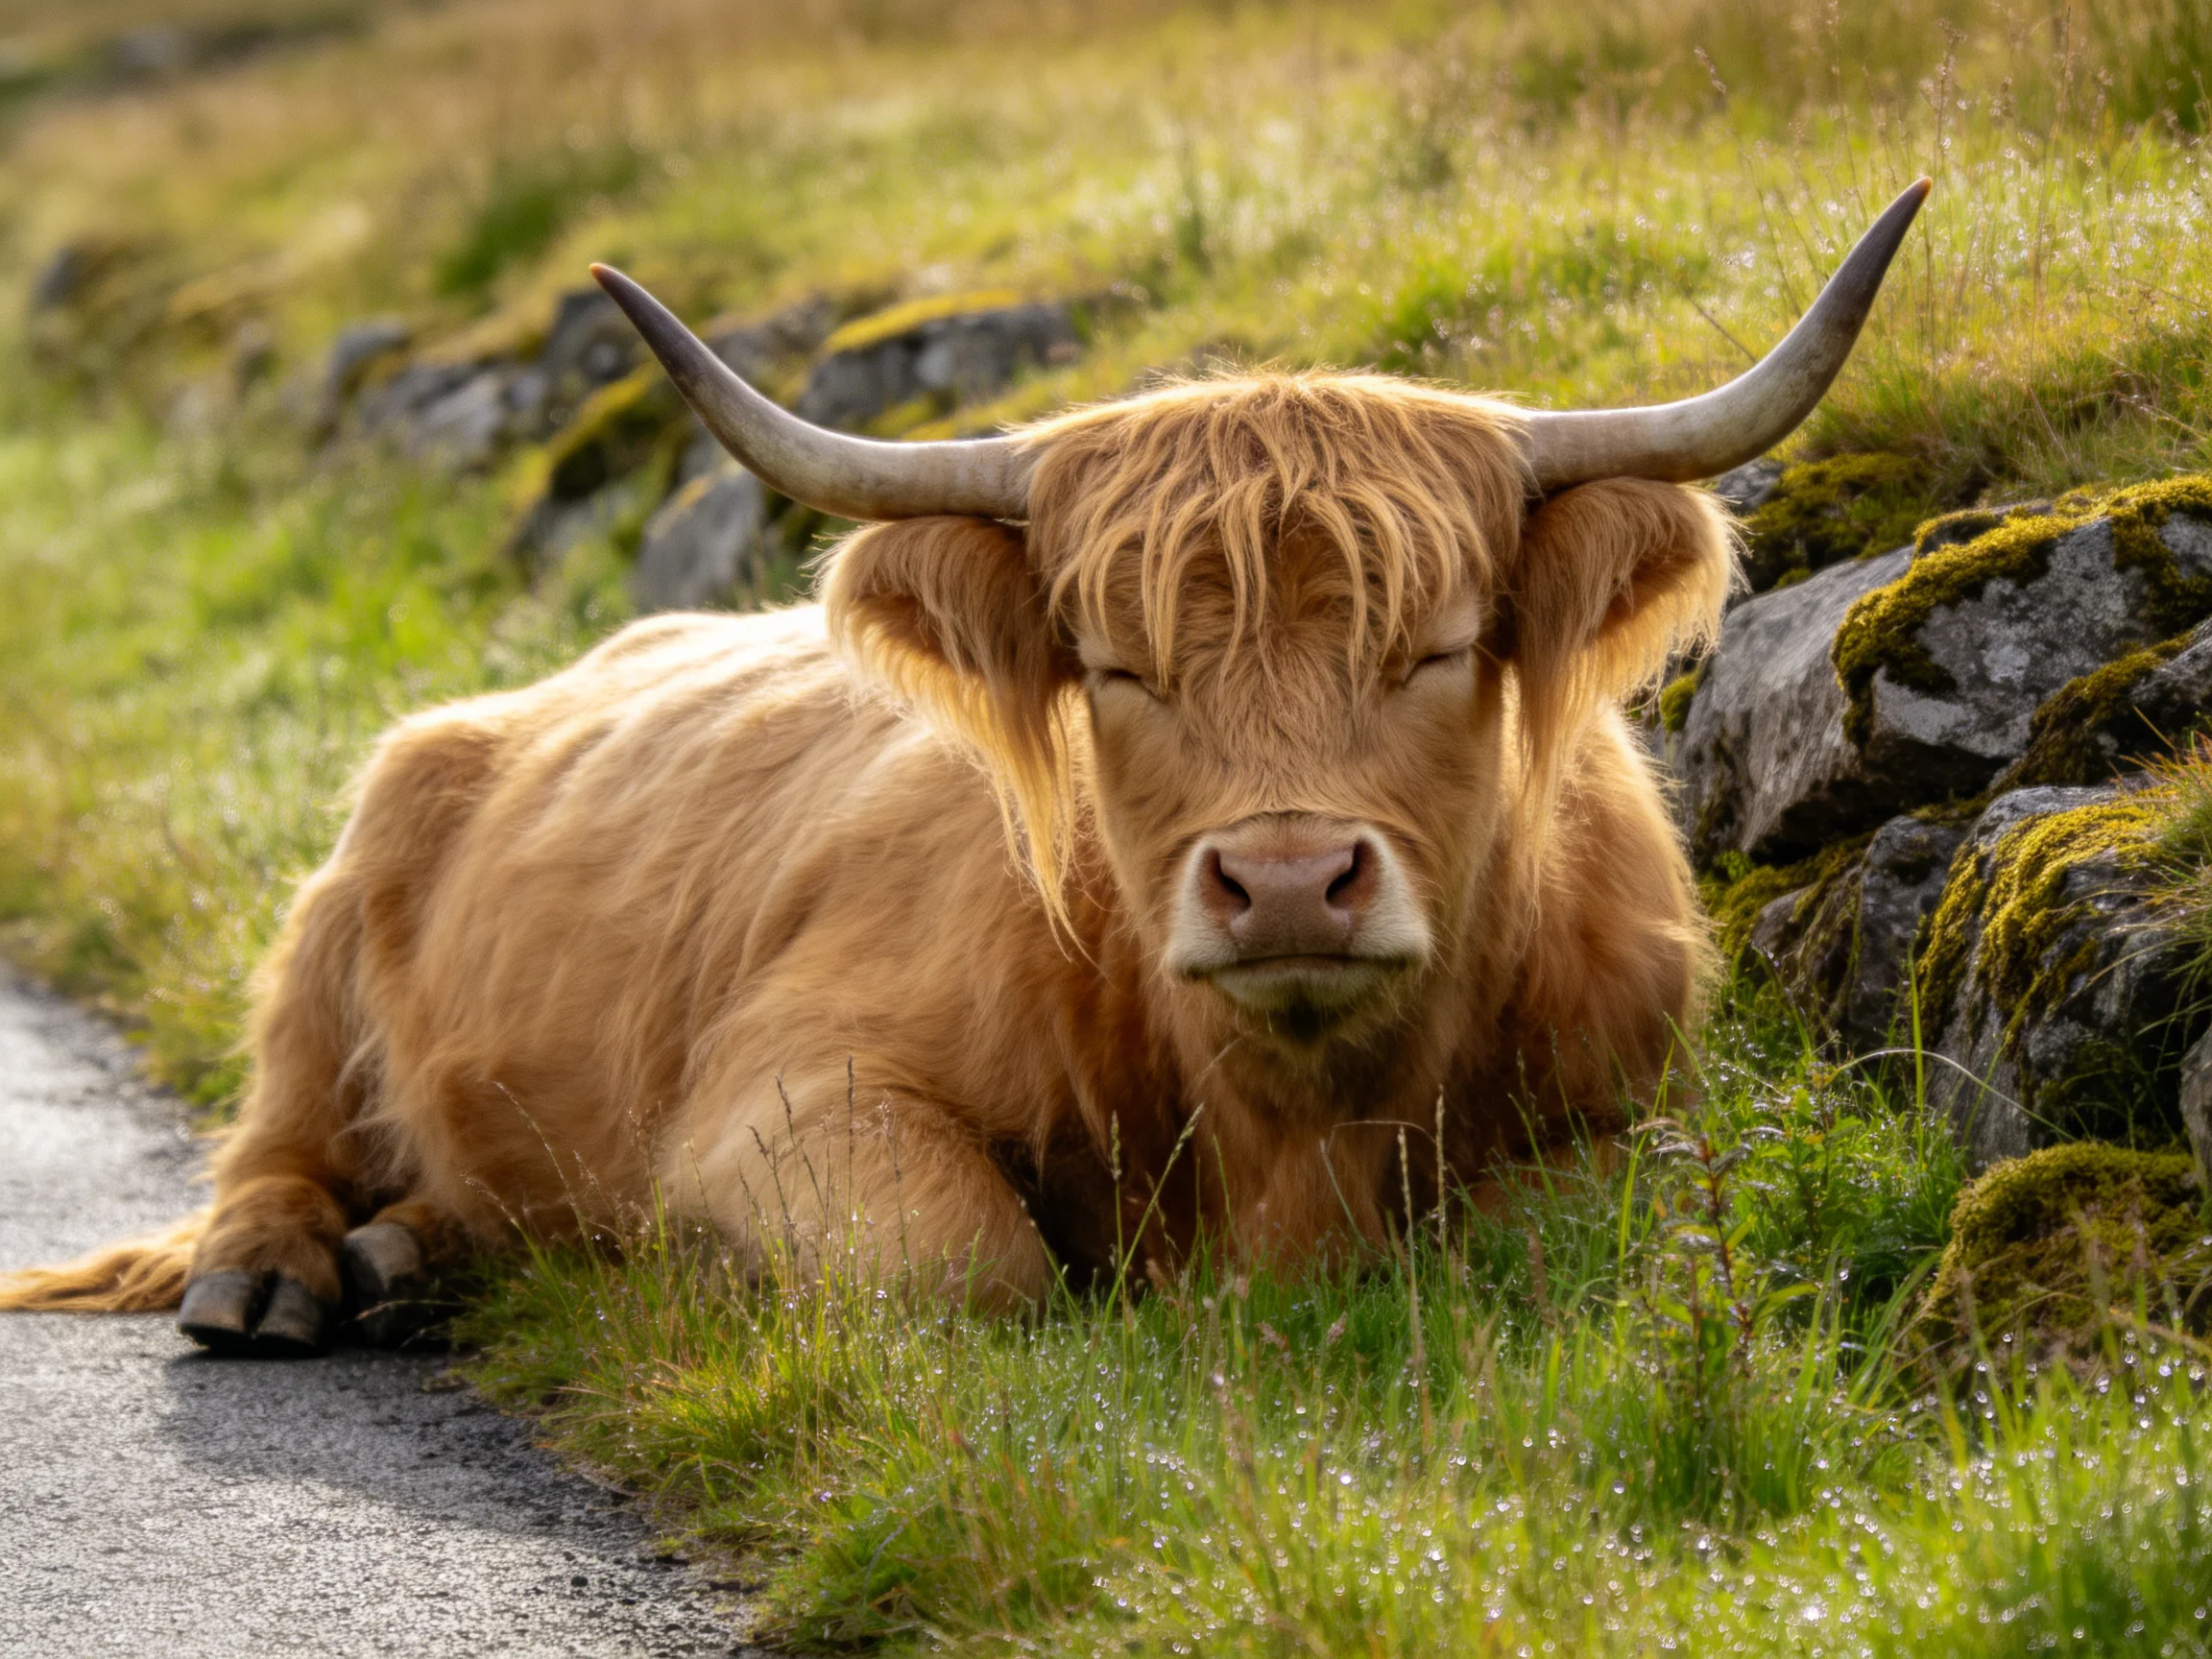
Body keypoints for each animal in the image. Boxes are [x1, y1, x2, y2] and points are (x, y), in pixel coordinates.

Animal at [0, 183, 1930, 1354]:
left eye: (1435, 644)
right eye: (1117, 666)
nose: (1284, 880)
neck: (1283, 1133)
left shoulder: (1634, 1112)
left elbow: (1570, 1238)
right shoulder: (792, 1089)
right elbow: (970, 1273)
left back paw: (416, 1255)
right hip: (327, 943)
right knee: (276, 1138)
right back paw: (281, 1279)